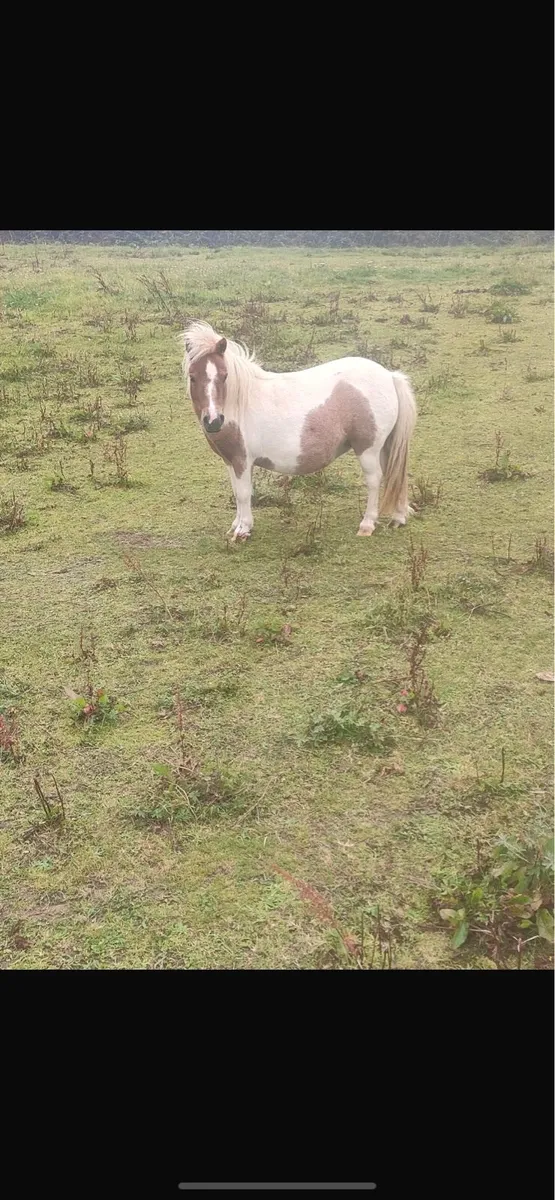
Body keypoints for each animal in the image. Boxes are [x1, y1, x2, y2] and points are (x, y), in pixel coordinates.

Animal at [182, 321, 417, 542]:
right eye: (192, 377)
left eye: (224, 376)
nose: (213, 421)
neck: (240, 403)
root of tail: (389, 376)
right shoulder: (230, 461)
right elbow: (237, 492)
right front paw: (236, 526)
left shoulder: (242, 461)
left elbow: (243, 494)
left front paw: (243, 530)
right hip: (385, 446)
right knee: (394, 474)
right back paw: (398, 517)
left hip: (368, 449)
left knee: (375, 479)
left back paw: (367, 524)